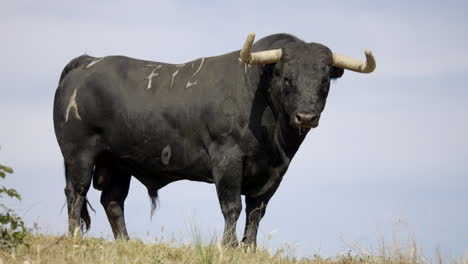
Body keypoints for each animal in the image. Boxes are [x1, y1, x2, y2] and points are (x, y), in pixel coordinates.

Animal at [53, 33, 374, 248]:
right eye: (286, 77)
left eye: (324, 80)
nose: (306, 116)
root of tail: (86, 62)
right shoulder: (227, 159)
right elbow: (232, 206)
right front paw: (229, 245)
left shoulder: (274, 171)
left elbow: (257, 210)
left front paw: (249, 248)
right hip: (79, 153)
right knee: (75, 192)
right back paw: (74, 236)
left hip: (118, 161)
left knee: (113, 200)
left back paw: (125, 242)